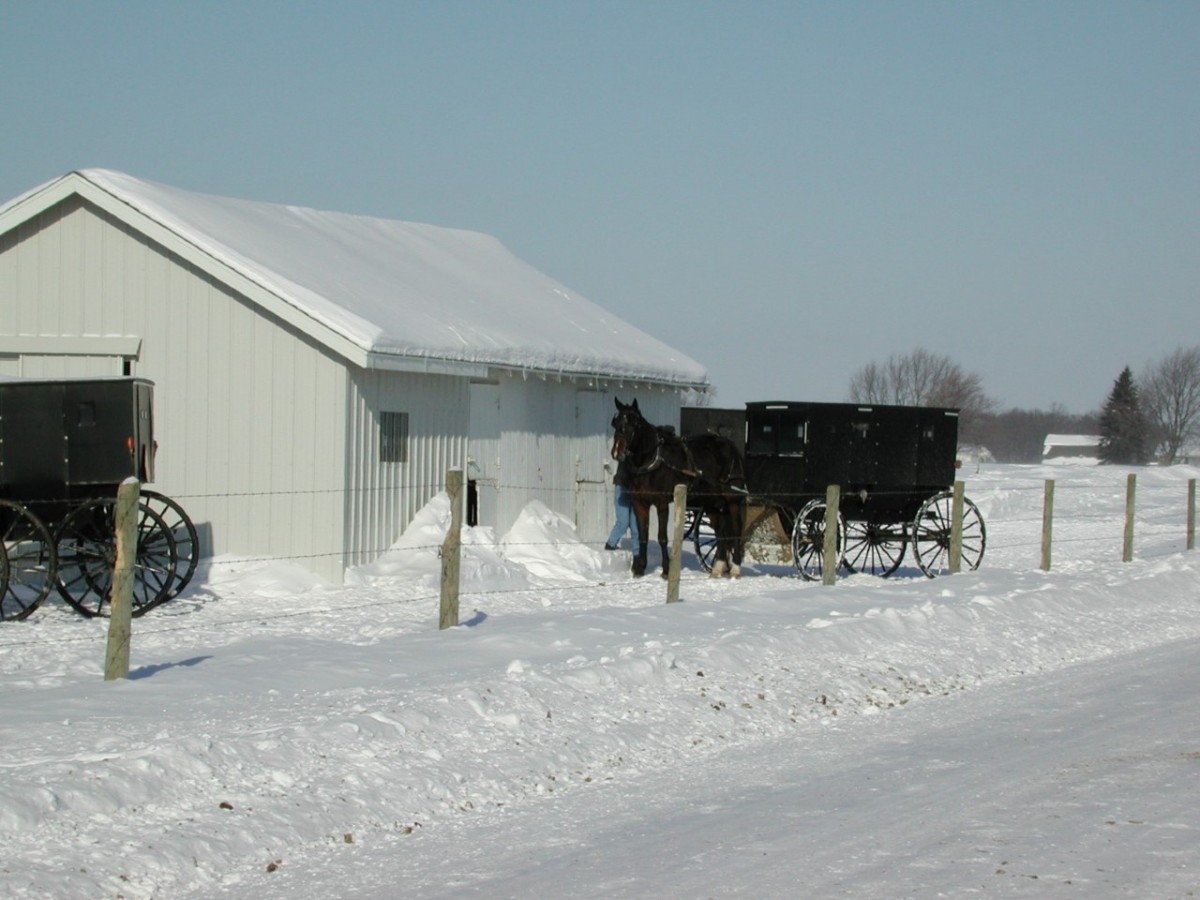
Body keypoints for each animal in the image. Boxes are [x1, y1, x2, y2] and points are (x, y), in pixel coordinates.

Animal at [614, 400, 744, 580]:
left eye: (635, 423)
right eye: (616, 422)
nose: (618, 451)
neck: (652, 458)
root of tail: (732, 447)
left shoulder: (661, 503)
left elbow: (662, 537)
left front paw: (666, 570)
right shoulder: (640, 503)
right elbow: (643, 536)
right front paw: (640, 569)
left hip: (732, 498)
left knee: (736, 530)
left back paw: (735, 568)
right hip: (712, 502)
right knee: (721, 533)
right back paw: (717, 568)